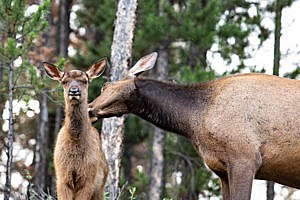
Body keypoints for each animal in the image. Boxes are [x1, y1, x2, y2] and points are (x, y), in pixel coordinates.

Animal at [41, 59, 108, 200]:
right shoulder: (62, 178)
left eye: (85, 81)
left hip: (100, 188)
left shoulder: (88, 180)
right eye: (64, 81)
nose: (74, 91)